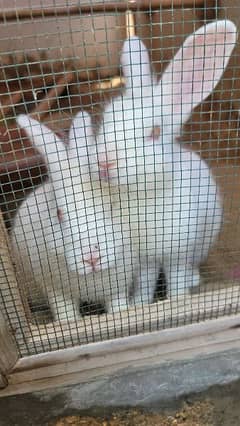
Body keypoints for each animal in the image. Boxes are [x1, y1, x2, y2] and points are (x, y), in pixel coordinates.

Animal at [11, 111, 135, 322]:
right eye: (59, 214)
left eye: (111, 206)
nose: (92, 257)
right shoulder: (54, 289)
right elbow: (66, 315)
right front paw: (69, 323)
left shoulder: (118, 286)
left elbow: (118, 309)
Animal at [94, 20, 237, 302]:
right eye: (106, 121)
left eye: (154, 133)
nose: (105, 162)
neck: (142, 194)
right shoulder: (144, 259)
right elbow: (145, 283)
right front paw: (139, 304)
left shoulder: (178, 253)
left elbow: (176, 280)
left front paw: (178, 301)